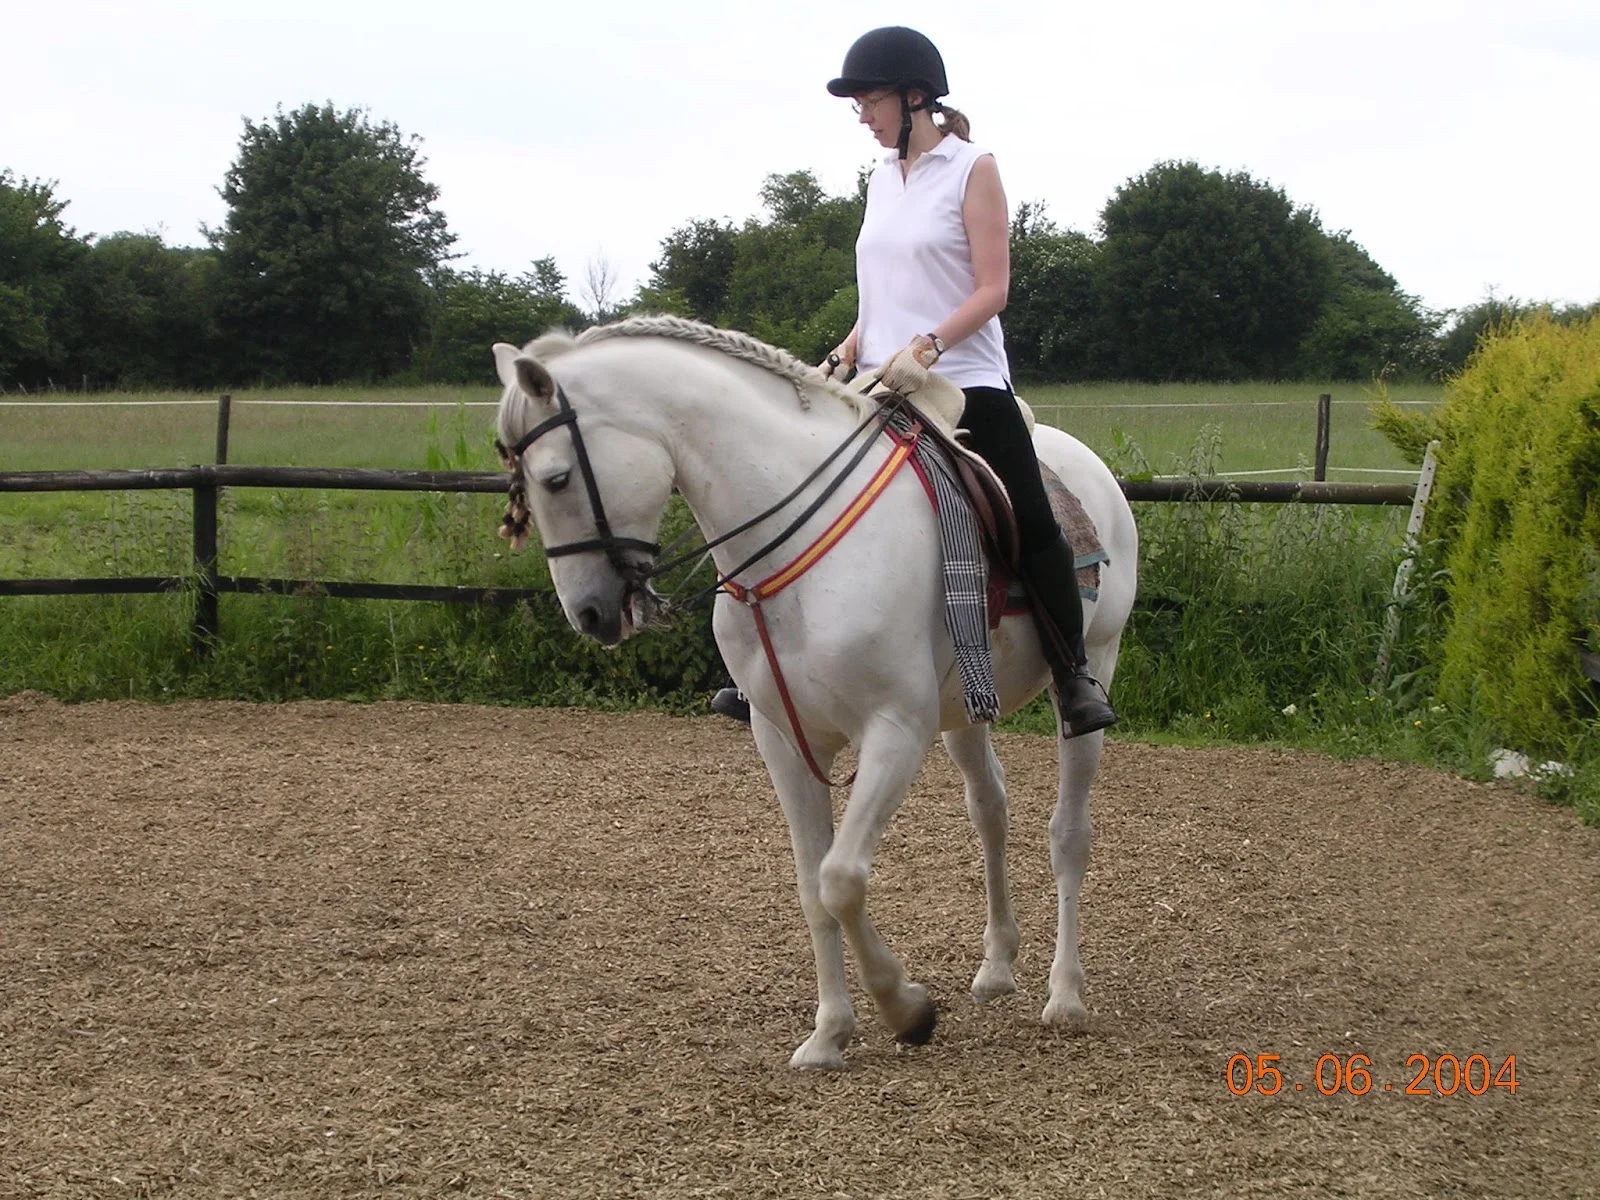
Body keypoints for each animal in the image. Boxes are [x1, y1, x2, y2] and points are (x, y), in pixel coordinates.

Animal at [492, 316, 1137, 1069]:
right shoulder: (783, 738)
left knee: (1068, 833)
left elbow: (841, 878)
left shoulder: (894, 732)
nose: (590, 615)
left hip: (1093, 669)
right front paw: (830, 1033)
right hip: (964, 714)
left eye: (557, 478)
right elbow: (810, 887)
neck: (792, 549)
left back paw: (1065, 997)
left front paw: (906, 1009)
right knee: (991, 812)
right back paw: (998, 966)